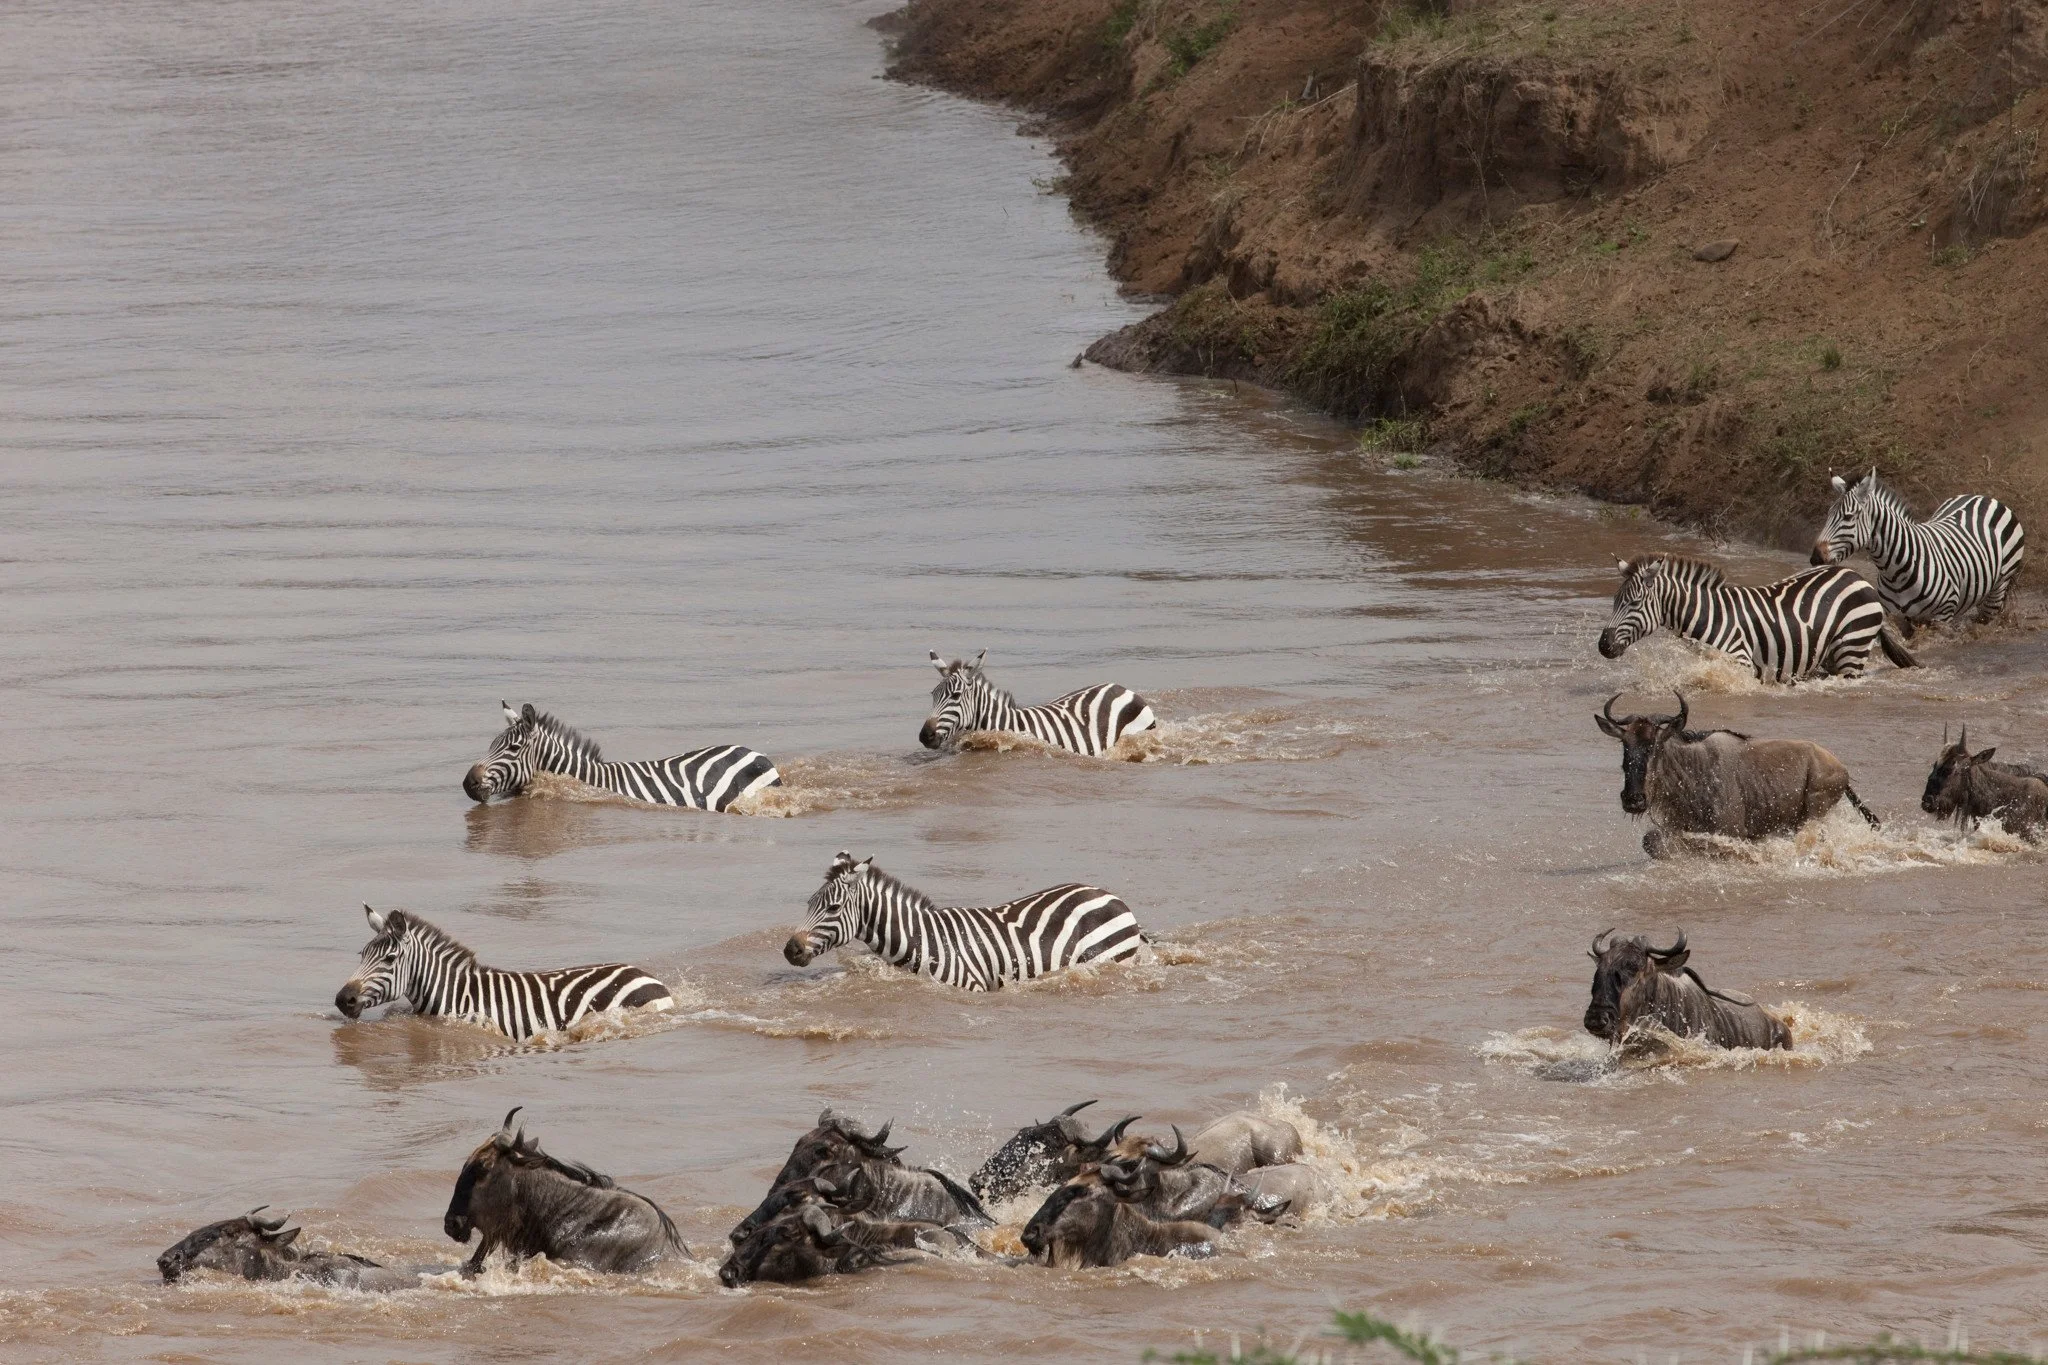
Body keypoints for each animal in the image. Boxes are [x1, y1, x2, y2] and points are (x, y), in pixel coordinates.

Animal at [1596, 554, 1916, 682]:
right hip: (1829, 654)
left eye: (1634, 603)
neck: (1710, 616)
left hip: (1853, 648)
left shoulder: (1739, 662)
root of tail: (1857, 576)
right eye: (1614, 601)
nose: (1603, 646)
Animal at [1810, 469, 2025, 631]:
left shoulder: (1941, 617)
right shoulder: (1896, 617)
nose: (1815, 558)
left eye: (1848, 517)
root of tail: (1984, 497)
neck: (1895, 572)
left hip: (1998, 589)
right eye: (1828, 514)